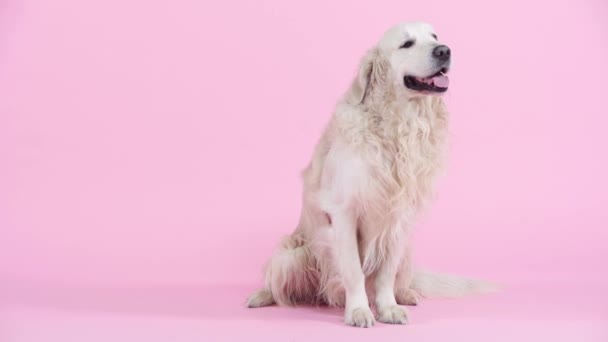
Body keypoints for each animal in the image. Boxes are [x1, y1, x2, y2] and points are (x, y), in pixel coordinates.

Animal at [245, 22, 492, 328]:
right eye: (407, 44)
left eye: (435, 36)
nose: (444, 50)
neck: (399, 123)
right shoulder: (344, 213)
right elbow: (354, 270)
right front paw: (359, 311)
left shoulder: (398, 218)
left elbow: (386, 274)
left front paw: (388, 307)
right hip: (291, 253)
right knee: (280, 283)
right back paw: (261, 296)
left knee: (402, 278)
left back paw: (406, 293)